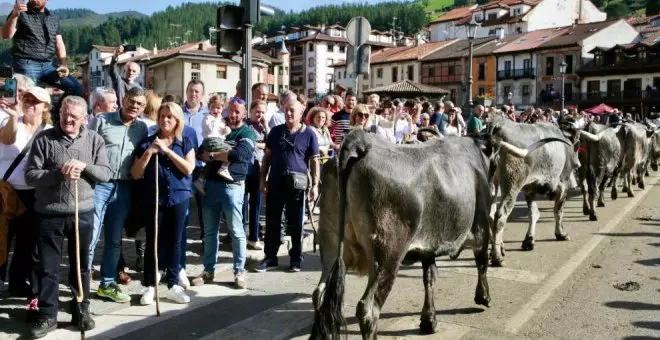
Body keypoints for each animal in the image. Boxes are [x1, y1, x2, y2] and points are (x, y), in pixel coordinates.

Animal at [310, 129, 564, 338]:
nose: (494, 181)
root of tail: (360, 142)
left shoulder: (428, 245)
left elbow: (429, 277)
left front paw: (428, 320)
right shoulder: (481, 229)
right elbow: (481, 262)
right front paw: (483, 296)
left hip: (331, 243)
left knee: (320, 295)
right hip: (387, 255)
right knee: (368, 309)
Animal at [484, 115, 576, 266]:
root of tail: (498, 123)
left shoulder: (529, 190)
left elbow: (534, 213)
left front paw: (529, 240)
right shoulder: (563, 182)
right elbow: (558, 211)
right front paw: (561, 233)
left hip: (493, 185)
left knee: (491, 216)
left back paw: (498, 250)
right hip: (512, 185)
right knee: (500, 216)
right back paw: (498, 257)